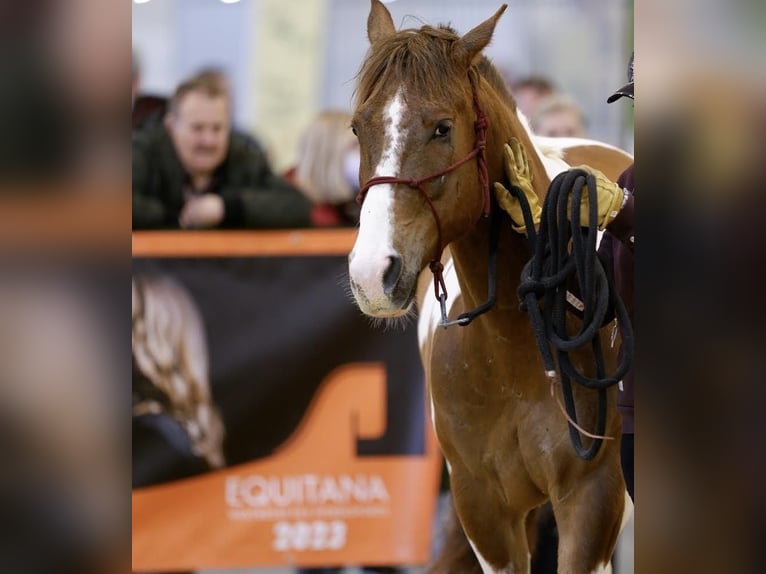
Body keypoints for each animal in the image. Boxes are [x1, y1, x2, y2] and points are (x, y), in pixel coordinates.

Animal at [348, 1, 632, 573]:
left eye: (441, 128)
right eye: (357, 127)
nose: (372, 273)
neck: (515, 351)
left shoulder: (593, 500)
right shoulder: (483, 510)